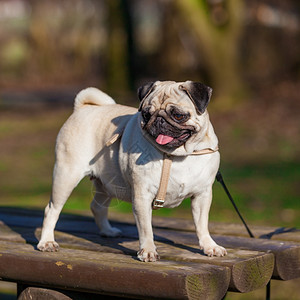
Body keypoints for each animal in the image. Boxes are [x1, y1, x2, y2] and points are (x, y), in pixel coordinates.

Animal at [37, 81, 227, 262]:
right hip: (66, 176)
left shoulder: (202, 195)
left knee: (97, 206)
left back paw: (107, 231)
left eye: (178, 115)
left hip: (109, 183)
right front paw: (148, 251)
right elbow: (146, 229)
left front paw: (210, 246)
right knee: (52, 210)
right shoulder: (142, 196)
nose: (158, 120)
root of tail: (83, 108)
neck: (179, 156)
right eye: (146, 115)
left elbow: (202, 225)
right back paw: (46, 242)